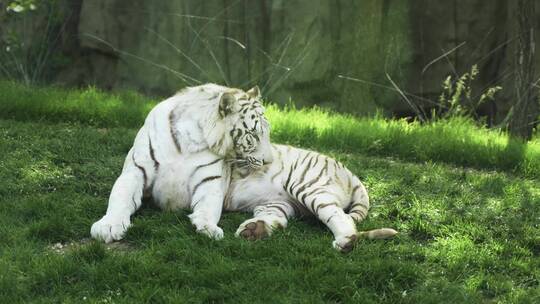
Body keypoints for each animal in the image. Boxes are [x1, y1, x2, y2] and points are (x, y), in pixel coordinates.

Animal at [91, 83, 274, 242]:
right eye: (253, 135)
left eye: (267, 132)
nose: (269, 161)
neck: (191, 137)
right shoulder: (136, 170)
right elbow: (120, 197)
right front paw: (108, 226)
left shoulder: (209, 179)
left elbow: (210, 205)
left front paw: (208, 227)